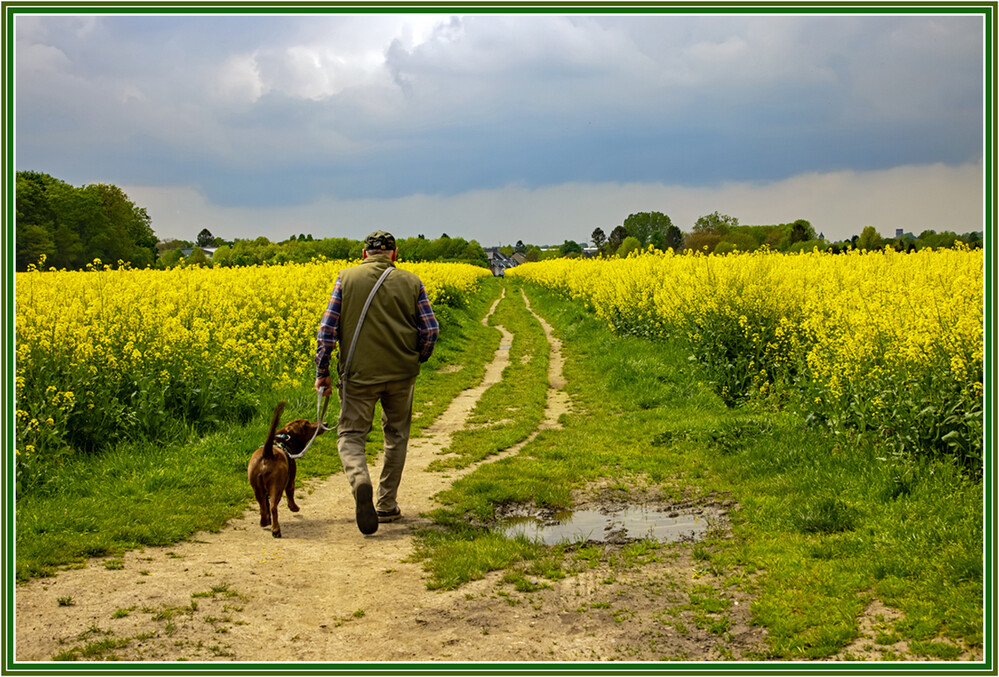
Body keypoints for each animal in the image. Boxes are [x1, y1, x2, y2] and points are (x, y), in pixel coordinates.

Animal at [248, 402, 330, 540]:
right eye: (306, 423)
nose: (325, 423)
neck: (283, 440)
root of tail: (267, 453)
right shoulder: (291, 480)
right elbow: (290, 494)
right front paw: (294, 508)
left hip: (257, 488)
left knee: (263, 506)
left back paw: (264, 522)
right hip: (277, 486)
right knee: (273, 507)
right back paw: (276, 530)